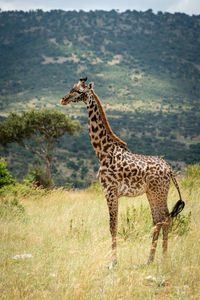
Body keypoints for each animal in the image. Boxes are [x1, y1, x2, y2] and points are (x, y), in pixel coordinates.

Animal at [60, 78, 185, 268]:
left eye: (79, 91)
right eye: (71, 88)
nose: (63, 99)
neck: (103, 152)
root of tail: (170, 170)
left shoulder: (110, 191)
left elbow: (113, 225)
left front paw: (113, 263)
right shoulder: (111, 192)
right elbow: (114, 225)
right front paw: (114, 261)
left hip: (159, 192)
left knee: (166, 218)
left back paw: (163, 259)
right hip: (151, 193)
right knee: (159, 219)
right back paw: (150, 260)